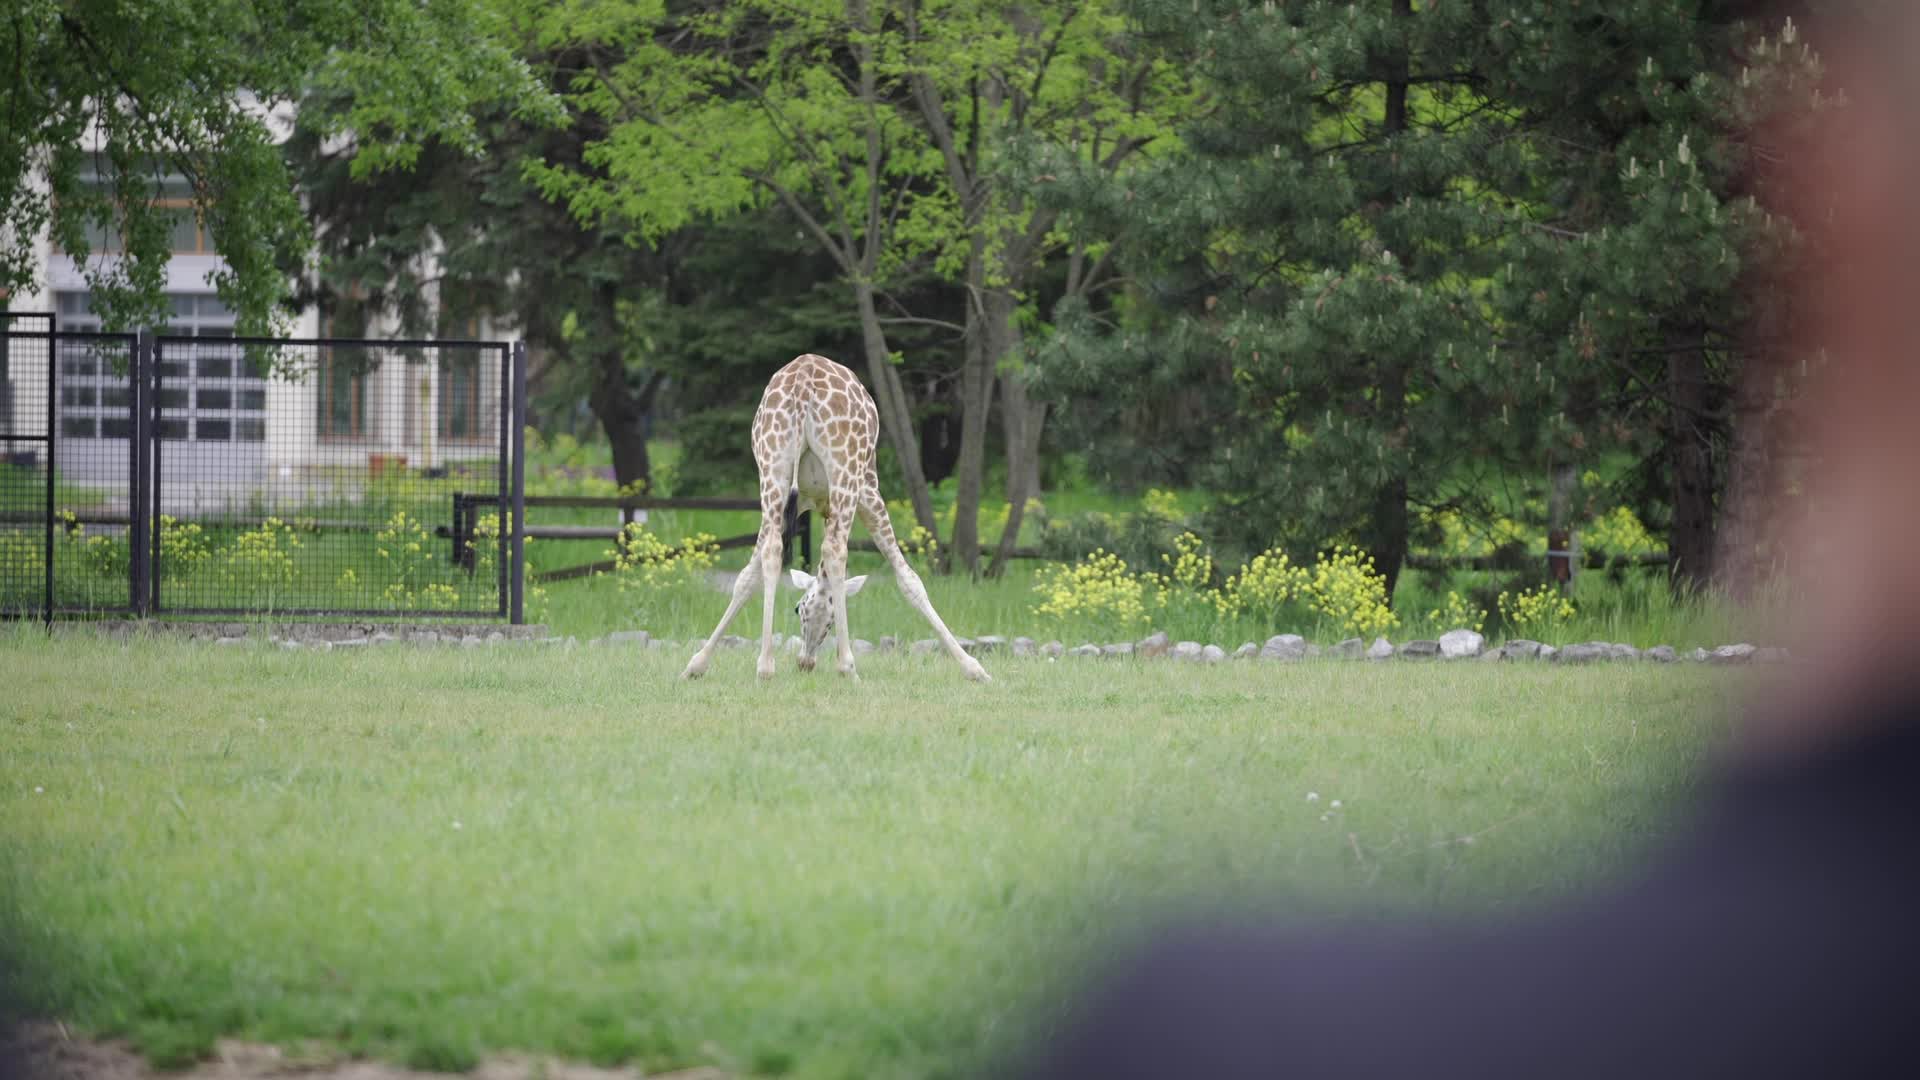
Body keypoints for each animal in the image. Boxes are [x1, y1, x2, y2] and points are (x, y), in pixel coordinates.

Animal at [680, 354, 991, 683]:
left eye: (799, 608)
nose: (805, 662)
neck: (820, 505)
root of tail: (804, 377)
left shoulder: (799, 501)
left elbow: (747, 578)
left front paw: (696, 664)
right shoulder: (868, 493)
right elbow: (909, 579)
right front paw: (974, 668)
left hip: (771, 471)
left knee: (773, 551)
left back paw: (765, 667)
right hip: (845, 471)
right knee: (835, 550)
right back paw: (847, 667)